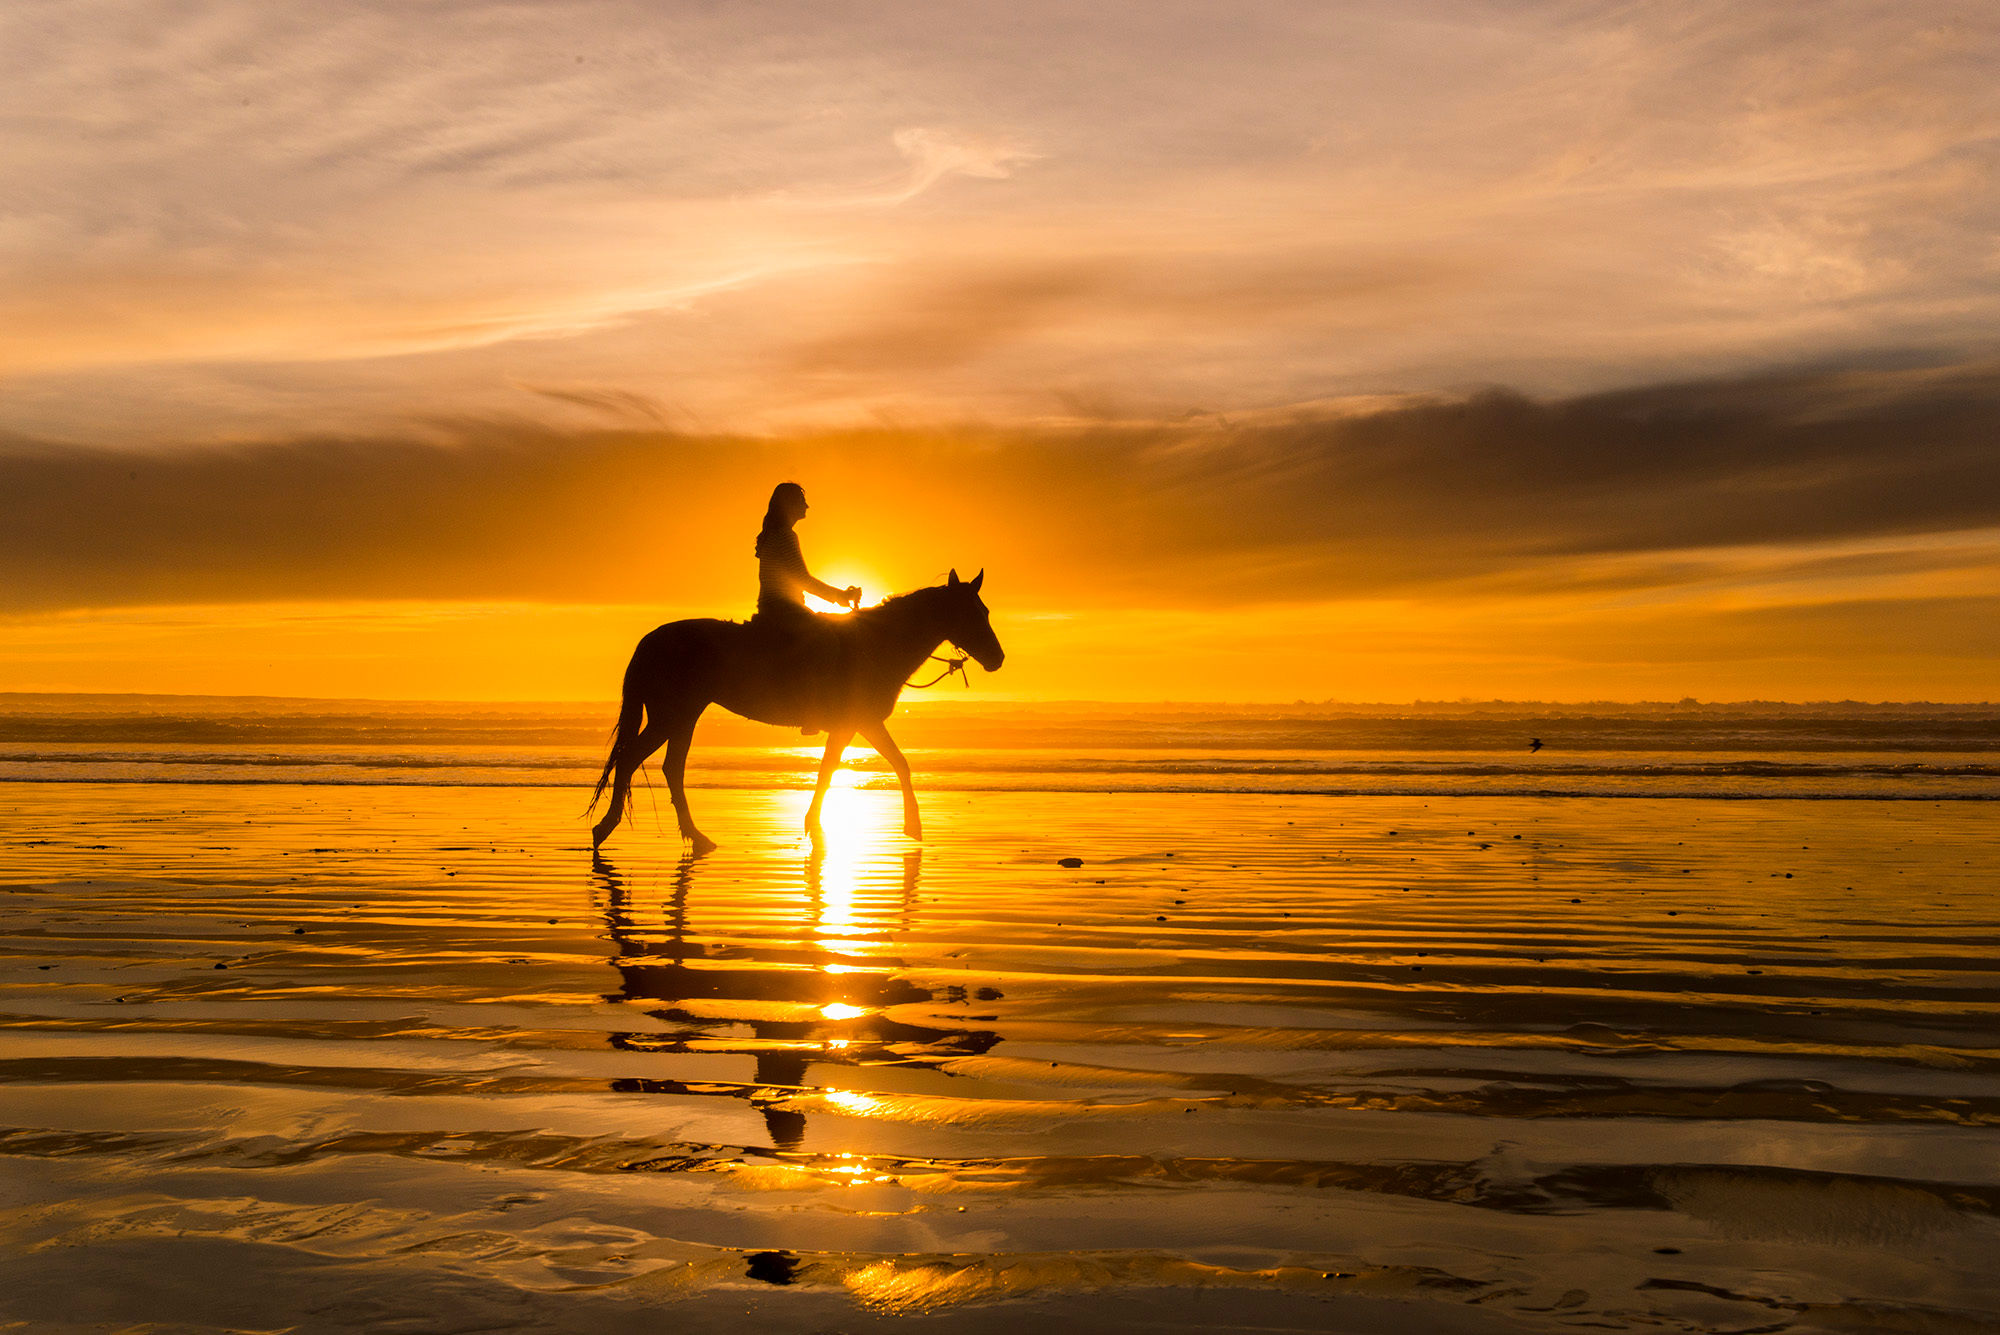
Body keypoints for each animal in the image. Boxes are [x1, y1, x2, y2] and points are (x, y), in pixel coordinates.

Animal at [588, 567, 1000, 851]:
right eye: (972, 613)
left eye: (985, 610)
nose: (998, 658)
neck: (877, 644)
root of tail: (650, 640)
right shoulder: (854, 724)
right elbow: (838, 771)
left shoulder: (862, 724)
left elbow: (886, 765)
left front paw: (908, 825)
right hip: (671, 715)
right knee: (632, 759)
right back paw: (606, 828)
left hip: (684, 715)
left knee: (669, 767)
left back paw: (695, 835)